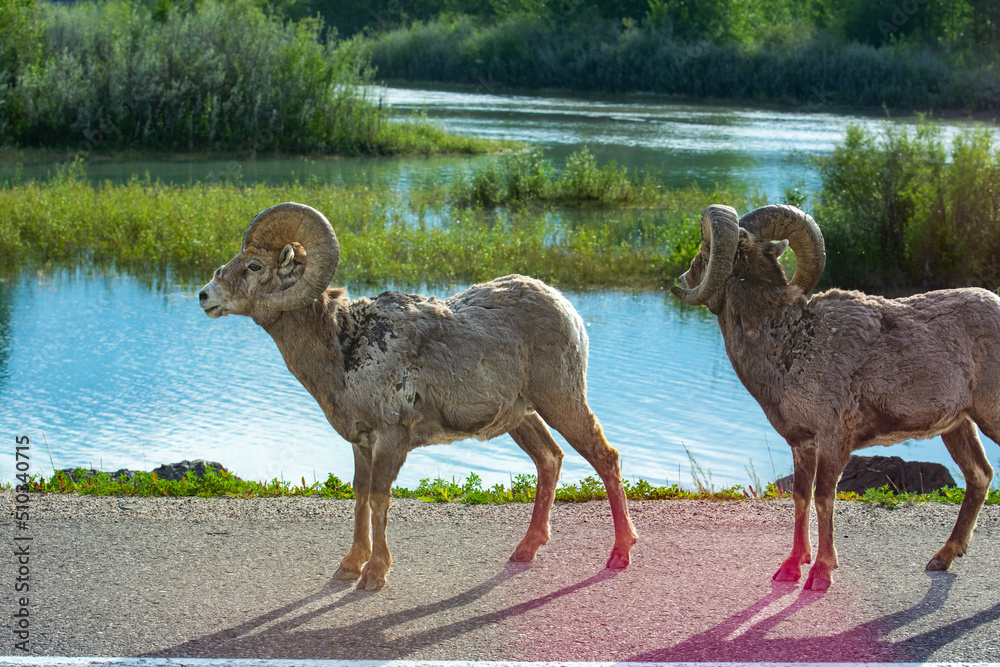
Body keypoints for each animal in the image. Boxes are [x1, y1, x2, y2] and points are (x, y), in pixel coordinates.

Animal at [199, 201, 638, 590]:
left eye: (254, 266)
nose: (204, 296)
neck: (343, 348)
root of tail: (568, 309)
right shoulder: (361, 442)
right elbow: (360, 497)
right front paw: (349, 567)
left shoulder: (392, 439)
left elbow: (380, 500)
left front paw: (374, 575)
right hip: (522, 417)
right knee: (550, 460)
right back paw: (525, 550)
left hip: (561, 400)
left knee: (604, 457)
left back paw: (620, 555)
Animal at [671, 203, 999, 591]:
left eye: (704, 249)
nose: (683, 278)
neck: (791, 343)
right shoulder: (802, 443)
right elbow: (801, 497)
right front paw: (791, 567)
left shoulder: (833, 439)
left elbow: (824, 498)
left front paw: (821, 574)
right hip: (958, 426)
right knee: (979, 475)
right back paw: (941, 558)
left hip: (989, 418)